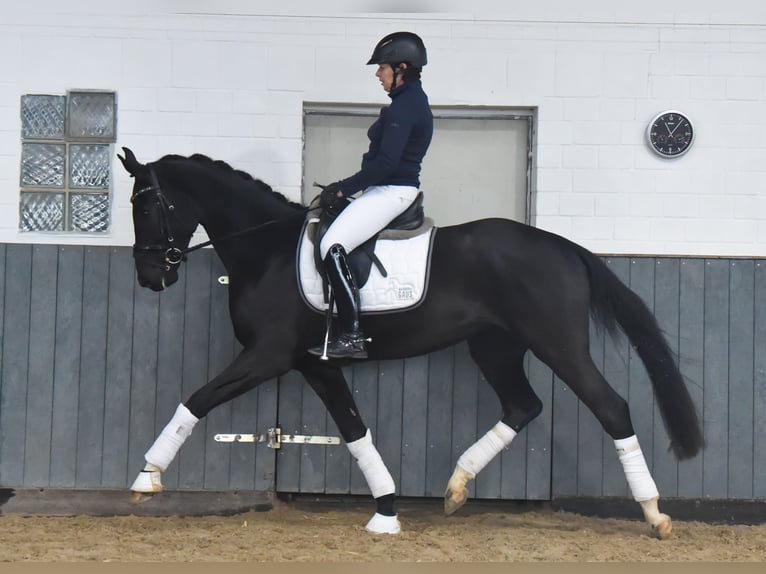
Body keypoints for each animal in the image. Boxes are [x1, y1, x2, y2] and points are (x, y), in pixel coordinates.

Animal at [117, 148, 704, 540]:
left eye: (144, 207)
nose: (149, 277)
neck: (268, 251)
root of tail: (563, 246)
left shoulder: (267, 356)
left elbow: (195, 399)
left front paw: (147, 477)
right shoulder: (315, 363)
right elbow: (355, 431)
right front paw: (386, 511)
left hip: (558, 345)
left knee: (611, 407)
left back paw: (655, 514)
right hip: (494, 347)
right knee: (523, 405)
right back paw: (456, 487)